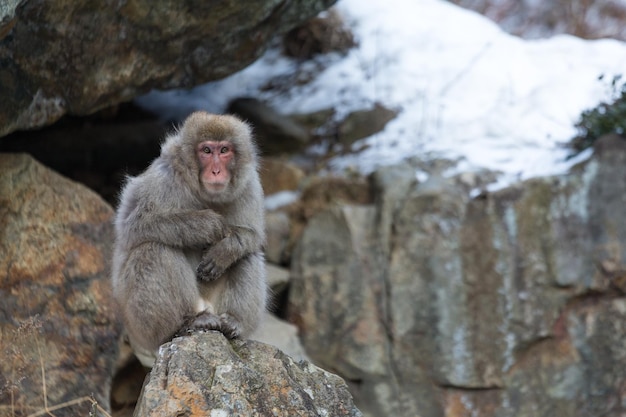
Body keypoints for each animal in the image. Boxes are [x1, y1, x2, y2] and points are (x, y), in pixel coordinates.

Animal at [111, 109, 266, 364]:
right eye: (207, 151)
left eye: (224, 150)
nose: (216, 171)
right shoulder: (162, 178)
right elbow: (132, 225)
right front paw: (207, 225)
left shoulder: (250, 186)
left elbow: (254, 236)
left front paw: (225, 250)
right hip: (140, 327)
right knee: (152, 249)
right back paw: (187, 322)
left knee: (248, 255)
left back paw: (233, 322)